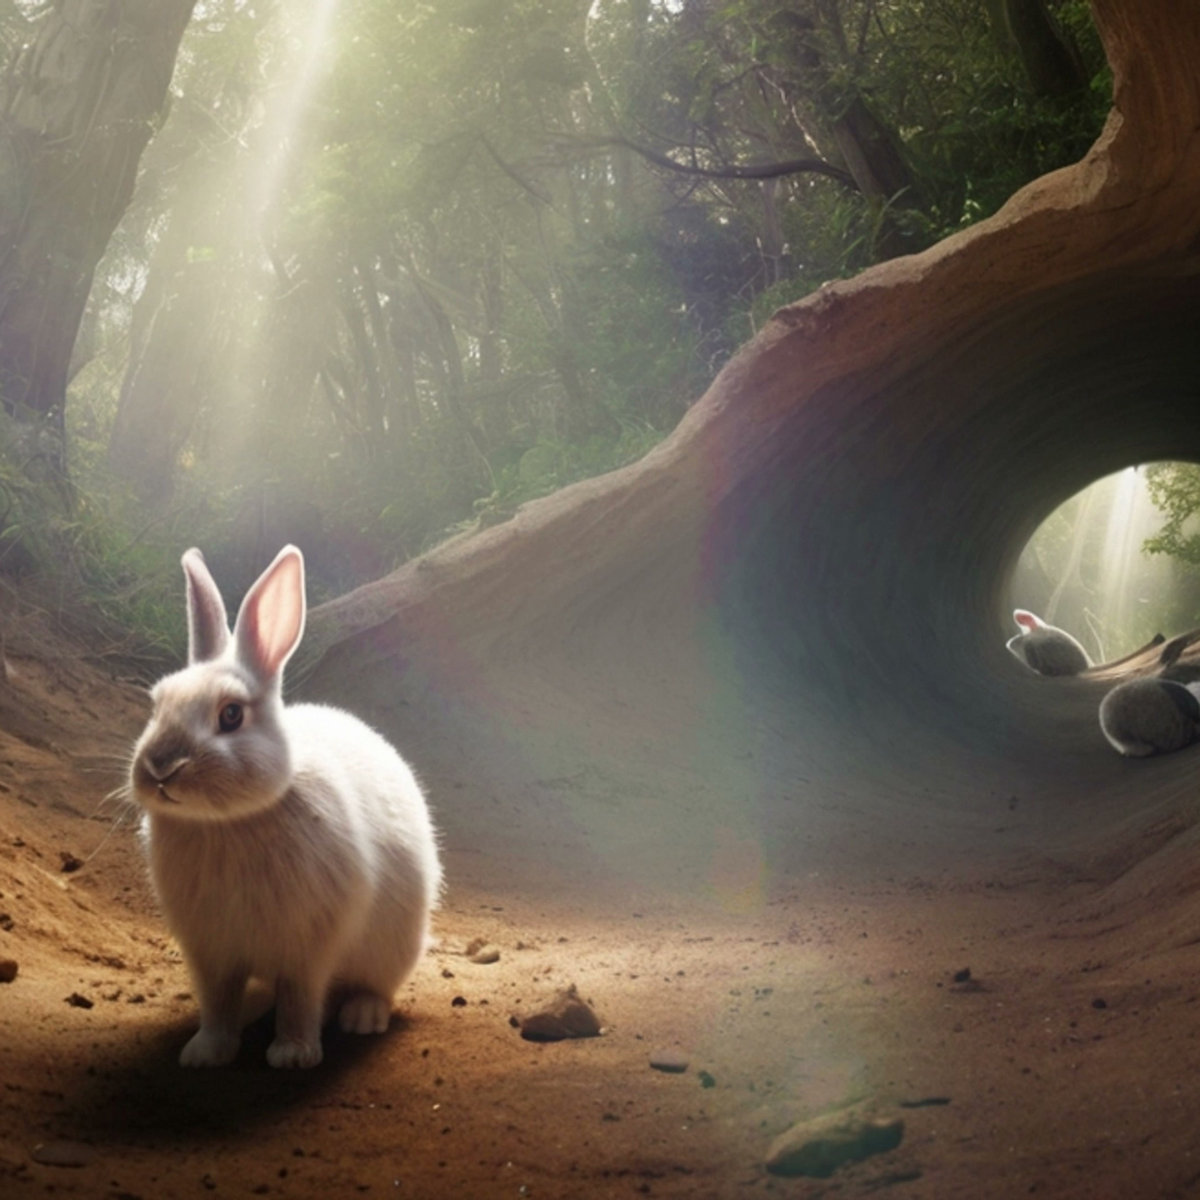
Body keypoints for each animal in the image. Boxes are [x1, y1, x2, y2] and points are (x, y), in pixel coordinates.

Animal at [128, 544, 442, 1069]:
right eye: (156, 707)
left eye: (231, 715)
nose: (160, 769)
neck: (227, 822)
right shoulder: (212, 951)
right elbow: (217, 1001)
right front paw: (204, 1053)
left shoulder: (307, 946)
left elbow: (299, 996)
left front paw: (292, 1055)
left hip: (394, 947)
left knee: (373, 987)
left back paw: (362, 1017)